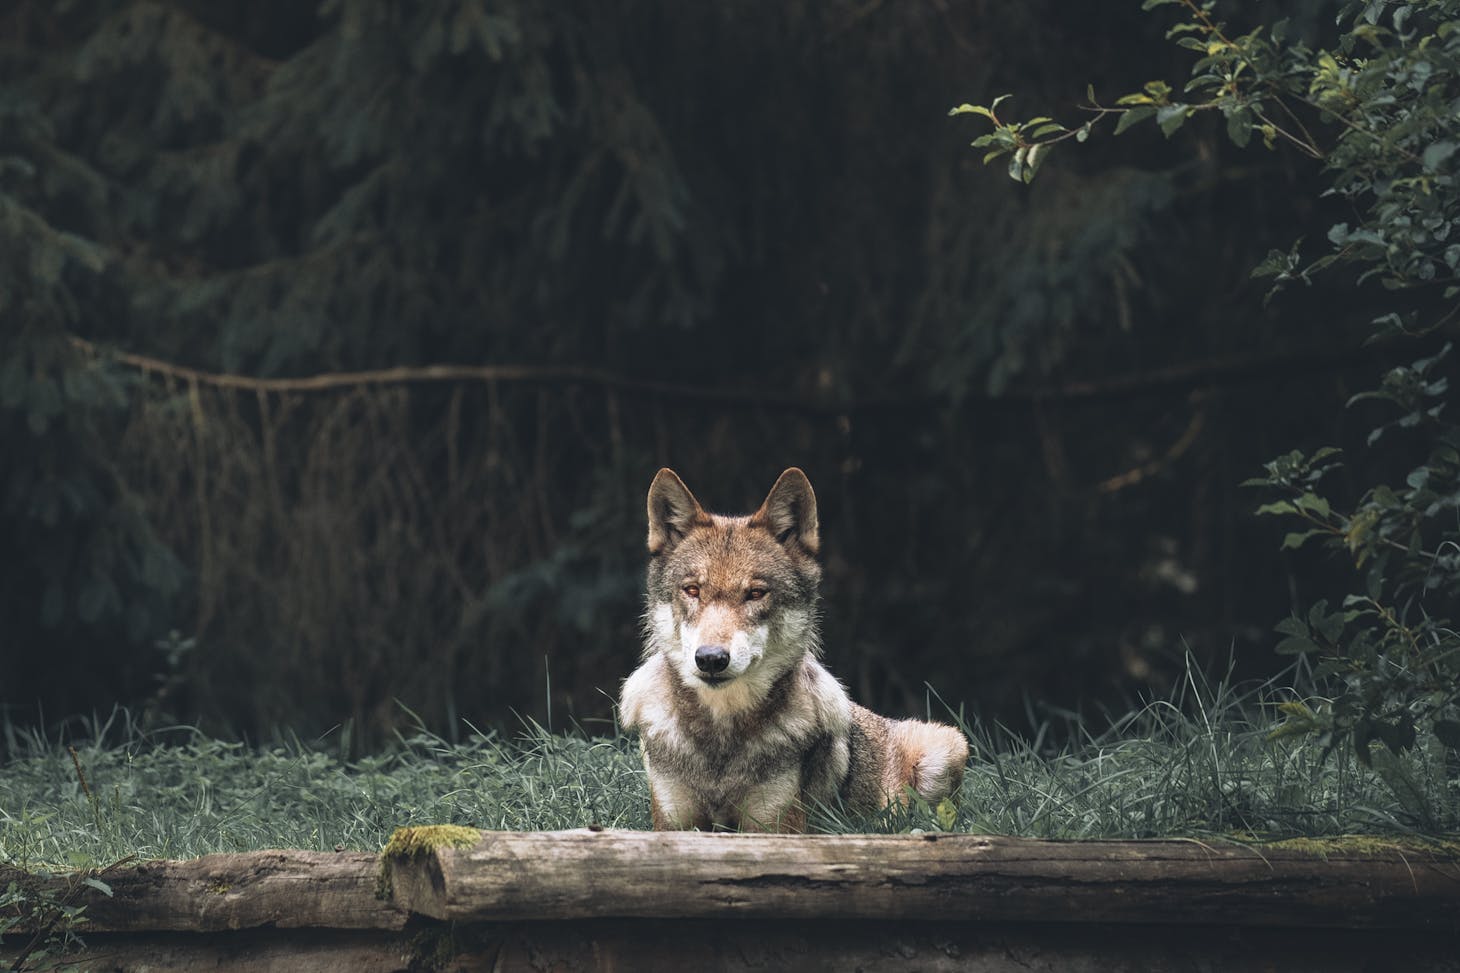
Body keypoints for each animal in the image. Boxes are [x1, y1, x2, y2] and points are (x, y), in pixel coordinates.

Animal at [619, 467, 969, 832]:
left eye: (756, 593)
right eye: (692, 590)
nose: (711, 659)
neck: (721, 742)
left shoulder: (775, 825)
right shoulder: (672, 824)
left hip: (947, 743)